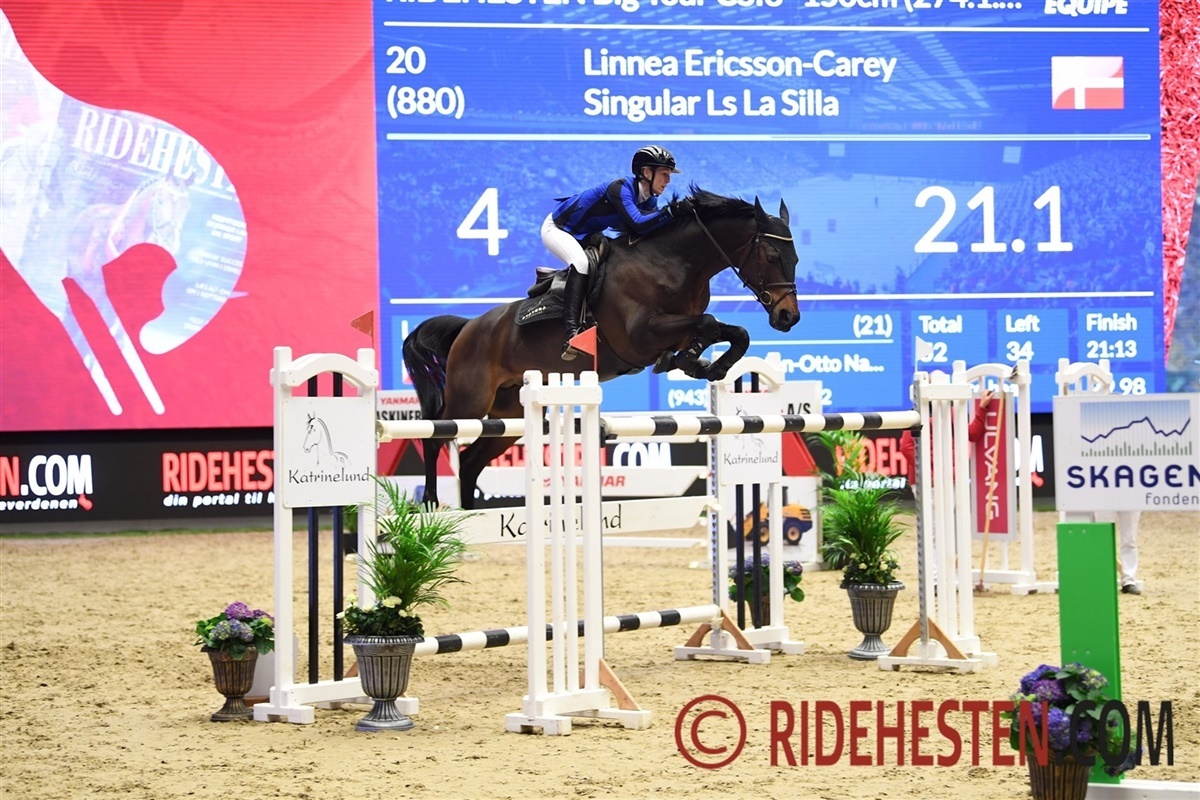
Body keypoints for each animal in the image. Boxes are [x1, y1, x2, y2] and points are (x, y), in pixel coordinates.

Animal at [402, 187, 801, 510]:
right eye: (770, 256)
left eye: (794, 258)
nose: (788, 317)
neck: (676, 262)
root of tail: (468, 327)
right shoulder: (641, 335)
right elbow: (709, 323)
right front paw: (697, 362)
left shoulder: (676, 327)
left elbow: (731, 332)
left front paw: (703, 365)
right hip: (470, 399)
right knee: (435, 434)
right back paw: (431, 503)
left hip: (510, 414)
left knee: (471, 463)